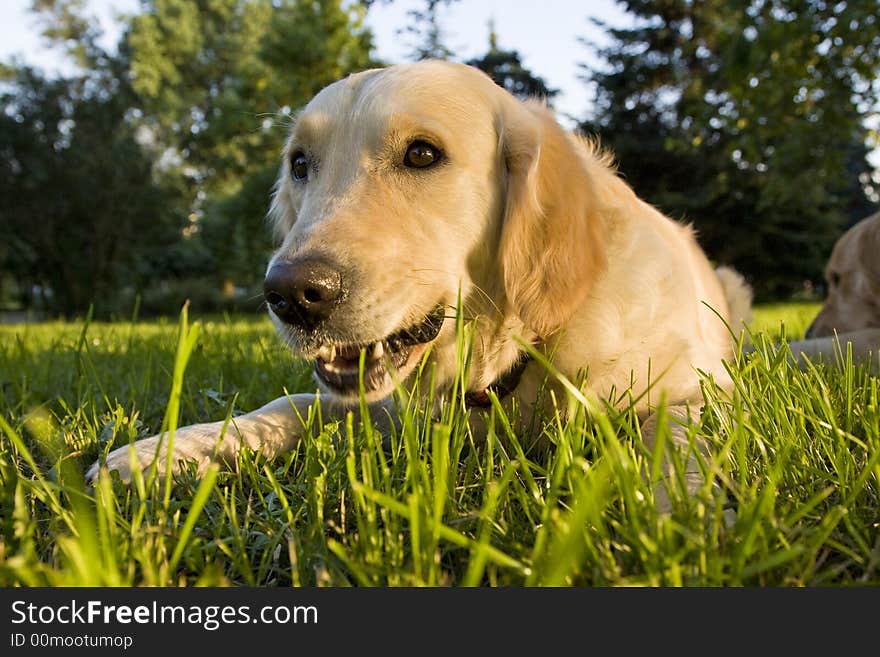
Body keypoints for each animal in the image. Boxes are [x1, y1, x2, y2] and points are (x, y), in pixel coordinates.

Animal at [87, 60, 748, 502]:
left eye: (423, 155)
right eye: (300, 164)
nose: (292, 294)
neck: (506, 364)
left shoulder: (702, 390)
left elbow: (674, 435)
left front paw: (681, 515)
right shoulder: (383, 405)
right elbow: (291, 402)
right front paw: (161, 452)